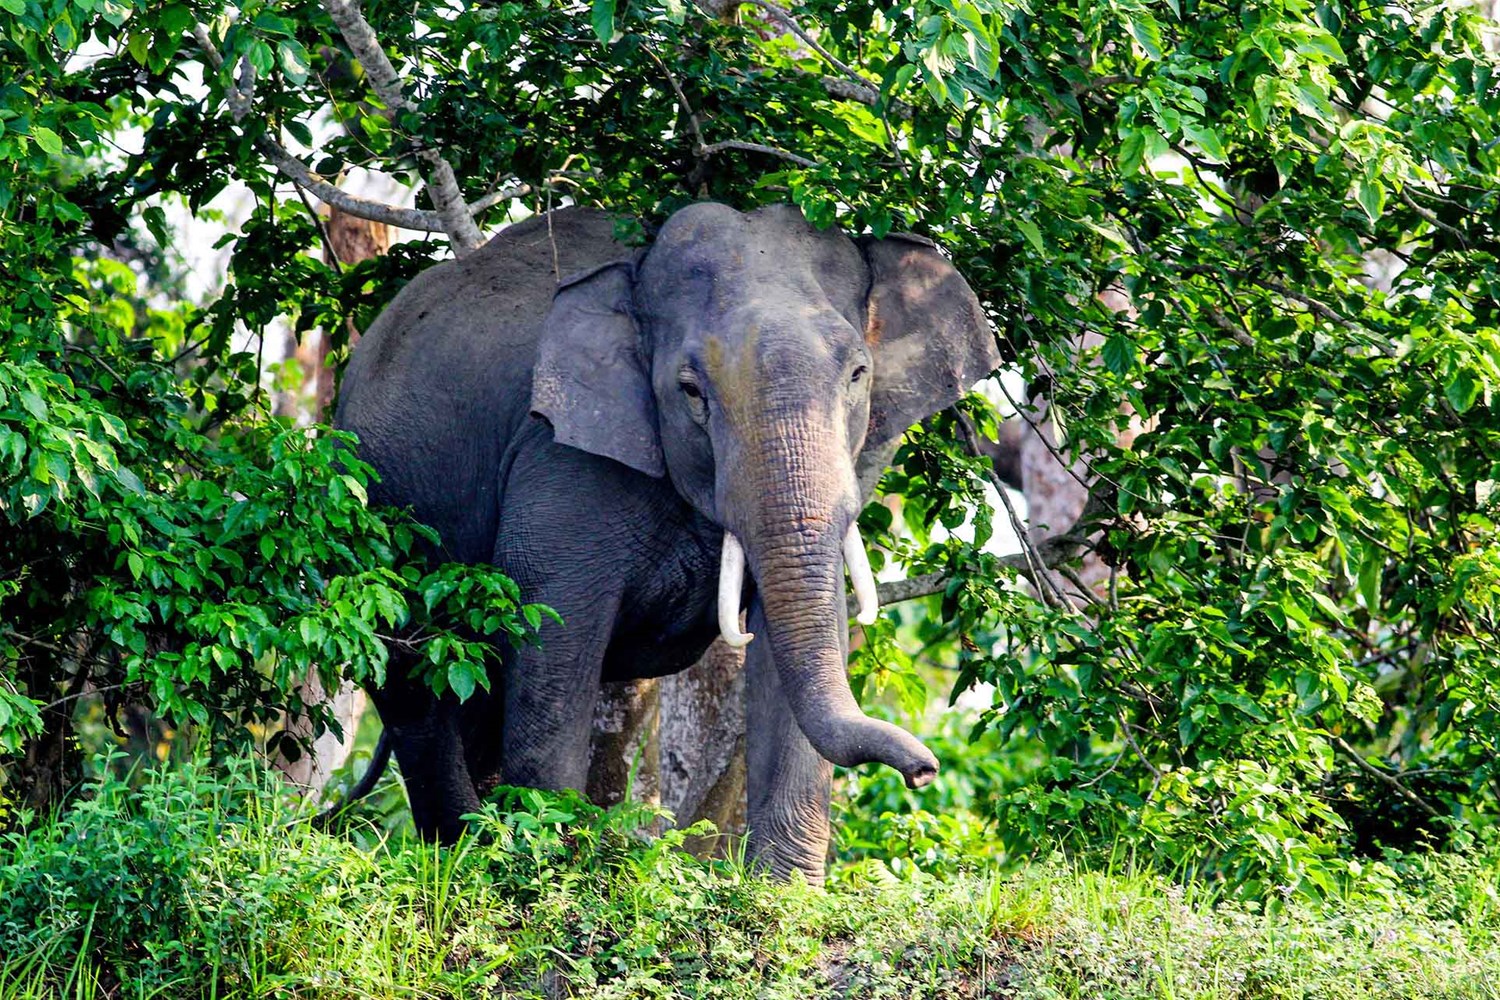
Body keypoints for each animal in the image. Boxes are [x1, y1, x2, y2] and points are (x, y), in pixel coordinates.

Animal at [334, 205, 1002, 881]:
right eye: (690, 390)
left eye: (859, 374)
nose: (924, 770)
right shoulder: (558, 460)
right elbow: (553, 628)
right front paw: (555, 871)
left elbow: (801, 636)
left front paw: (783, 892)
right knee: (418, 693)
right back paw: (463, 851)